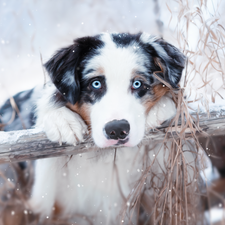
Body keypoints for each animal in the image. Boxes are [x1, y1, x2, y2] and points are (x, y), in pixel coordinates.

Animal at [0, 32, 185, 224]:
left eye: (137, 84)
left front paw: (160, 108)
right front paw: (61, 120)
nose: (117, 129)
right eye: (96, 84)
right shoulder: (39, 203)